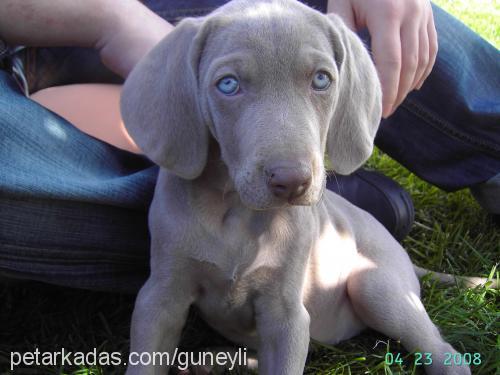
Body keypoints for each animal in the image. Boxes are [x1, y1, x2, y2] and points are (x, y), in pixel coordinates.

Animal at [121, 0, 472, 375]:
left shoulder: (286, 314)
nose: (291, 182)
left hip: (375, 284)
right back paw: (217, 360)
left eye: (321, 79)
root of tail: (404, 257)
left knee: (440, 348)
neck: (237, 214)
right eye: (228, 84)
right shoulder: (161, 296)